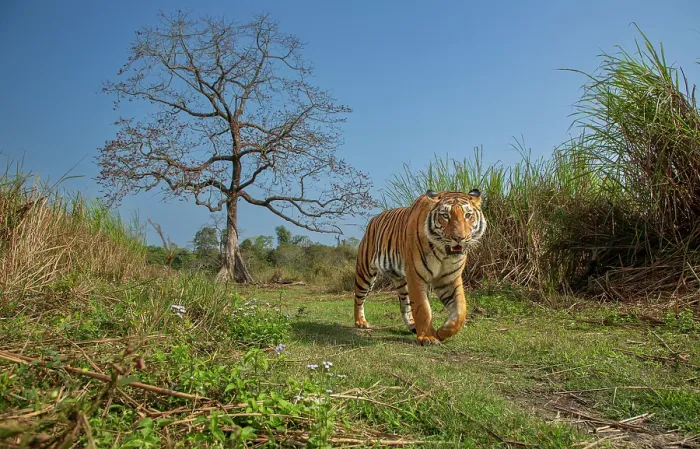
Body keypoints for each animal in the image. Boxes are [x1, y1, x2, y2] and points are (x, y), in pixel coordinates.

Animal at [353, 189, 487, 346]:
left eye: (468, 215)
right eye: (445, 216)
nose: (459, 238)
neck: (444, 253)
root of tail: (373, 219)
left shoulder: (449, 279)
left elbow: (460, 311)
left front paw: (441, 332)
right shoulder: (417, 277)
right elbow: (423, 308)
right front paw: (427, 337)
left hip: (402, 282)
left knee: (405, 305)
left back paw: (412, 326)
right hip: (365, 272)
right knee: (358, 297)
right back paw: (360, 322)